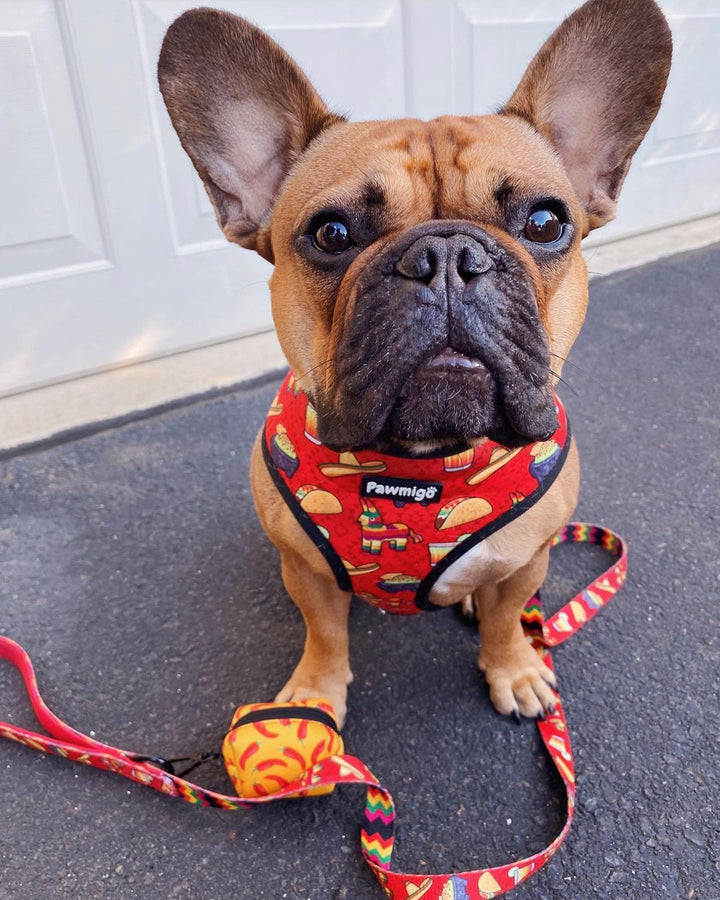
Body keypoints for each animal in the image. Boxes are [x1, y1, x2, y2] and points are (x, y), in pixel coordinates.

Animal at [158, 0, 668, 728]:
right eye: (332, 233)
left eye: (545, 223)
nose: (448, 255)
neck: (420, 463)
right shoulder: (307, 573)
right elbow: (324, 630)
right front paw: (314, 694)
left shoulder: (529, 562)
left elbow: (508, 619)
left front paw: (513, 669)